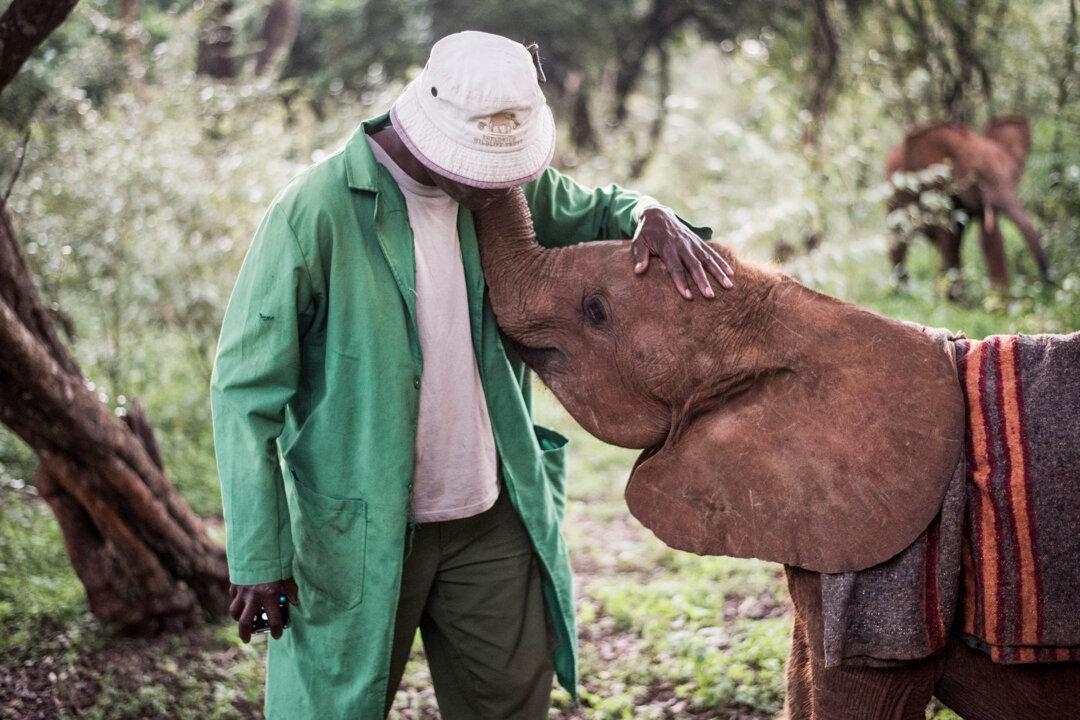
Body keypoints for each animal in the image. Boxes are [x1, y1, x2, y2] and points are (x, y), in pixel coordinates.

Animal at [884, 115, 1050, 297]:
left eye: (1014, 175)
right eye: (977, 177)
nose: (1045, 280)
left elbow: (990, 238)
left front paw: (999, 301)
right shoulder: (939, 190)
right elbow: (949, 237)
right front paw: (959, 300)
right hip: (893, 193)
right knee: (900, 238)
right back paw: (902, 292)